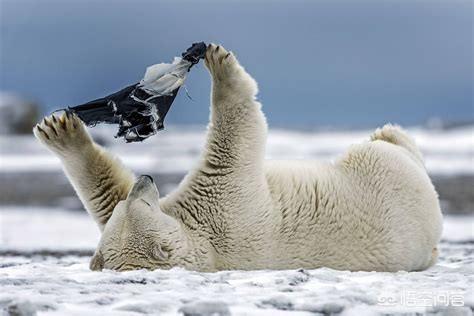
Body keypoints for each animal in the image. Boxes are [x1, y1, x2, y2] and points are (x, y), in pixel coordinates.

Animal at [34, 43, 444, 272]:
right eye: (142, 205)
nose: (146, 180)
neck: (206, 246)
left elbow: (104, 194)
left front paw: (59, 129)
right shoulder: (226, 208)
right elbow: (236, 136)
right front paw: (220, 63)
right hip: (383, 173)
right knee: (384, 152)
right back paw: (389, 133)